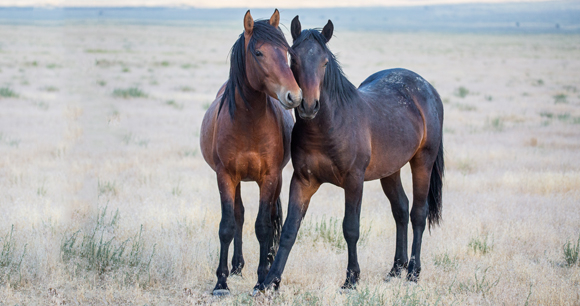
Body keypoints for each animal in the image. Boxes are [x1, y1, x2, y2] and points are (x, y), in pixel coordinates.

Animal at [199, 10, 302, 296]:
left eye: (286, 51)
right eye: (258, 52)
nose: (294, 95)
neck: (248, 122)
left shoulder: (269, 177)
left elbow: (264, 226)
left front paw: (262, 279)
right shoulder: (225, 176)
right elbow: (227, 225)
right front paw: (221, 283)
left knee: (269, 217)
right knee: (239, 215)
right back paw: (236, 266)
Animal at [258, 17, 444, 292]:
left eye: (325, 62)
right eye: (294, 59)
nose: (309, 106)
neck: (329, 126)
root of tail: (427, 88)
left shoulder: (354, 181)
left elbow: (351, 228)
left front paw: (351, 279)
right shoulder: (303, 181)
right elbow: (290, 229)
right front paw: (270, 281)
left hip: (423, 161)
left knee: (418, 214)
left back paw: (413, 272)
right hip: (391, 170)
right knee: (400, 209)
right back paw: (395, 270)